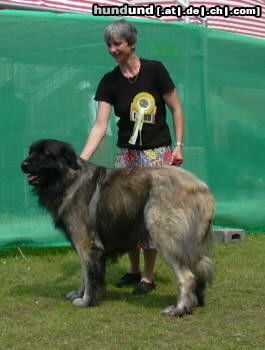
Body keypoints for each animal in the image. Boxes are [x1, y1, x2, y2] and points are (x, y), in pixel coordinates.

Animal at [21, 139, 214, 318]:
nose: (23, 165)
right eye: (31, 151)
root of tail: (202, 188)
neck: (69, 177)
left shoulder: (87, 244)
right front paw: (79, 294)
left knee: (187, 277)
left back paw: (179, 309)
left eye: (45, 153)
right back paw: (194, 302)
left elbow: (89, 275)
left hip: (165, 237)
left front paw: (86, 300)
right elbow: (85, 273)